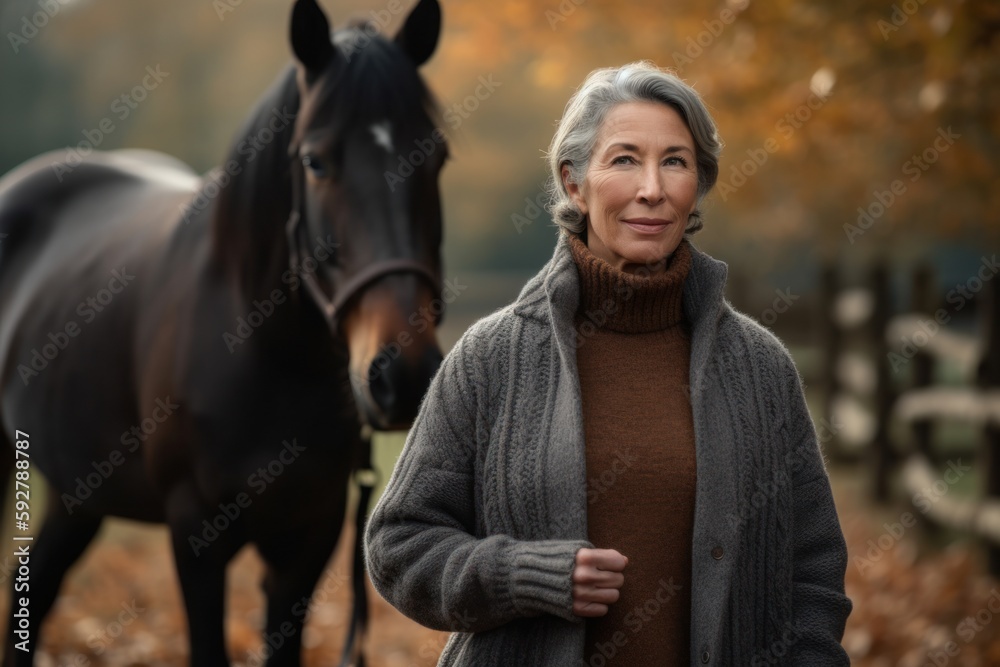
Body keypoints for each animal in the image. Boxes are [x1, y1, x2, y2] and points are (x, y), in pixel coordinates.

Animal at [0, 0, 447, 664]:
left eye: (436, 157)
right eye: (315, 162)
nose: (405, 374)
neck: (270, 354)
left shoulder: (308, 537)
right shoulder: (196, 535)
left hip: (78, 490)